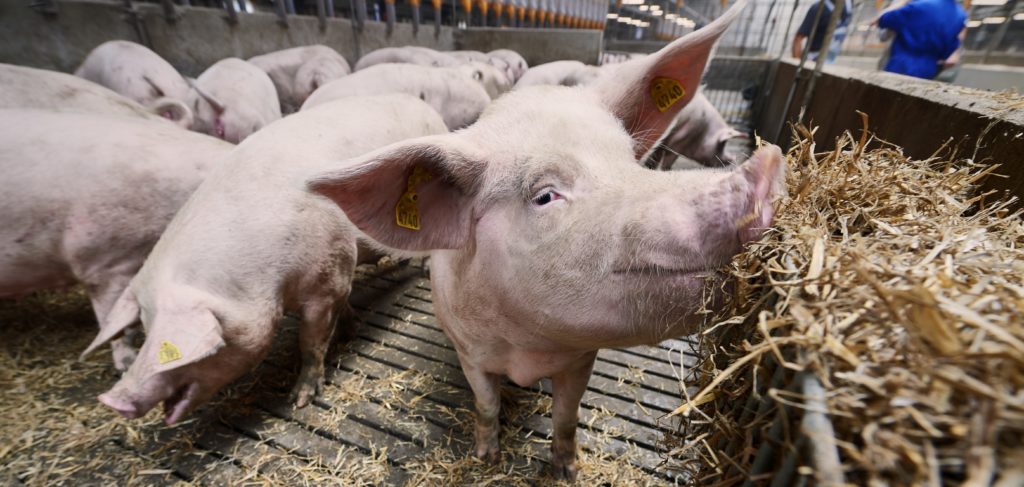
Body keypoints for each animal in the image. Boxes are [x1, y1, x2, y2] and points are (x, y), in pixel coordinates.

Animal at [83, 95, 448, 424]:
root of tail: (424, 106)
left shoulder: (324, 285)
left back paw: (424, 269)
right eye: (145, 325)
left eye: (172, 347)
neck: (266, 283)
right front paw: (351, 327)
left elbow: (311, 342)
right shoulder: (338, 271)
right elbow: (341, 309)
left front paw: (299, 400)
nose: (112, 400)